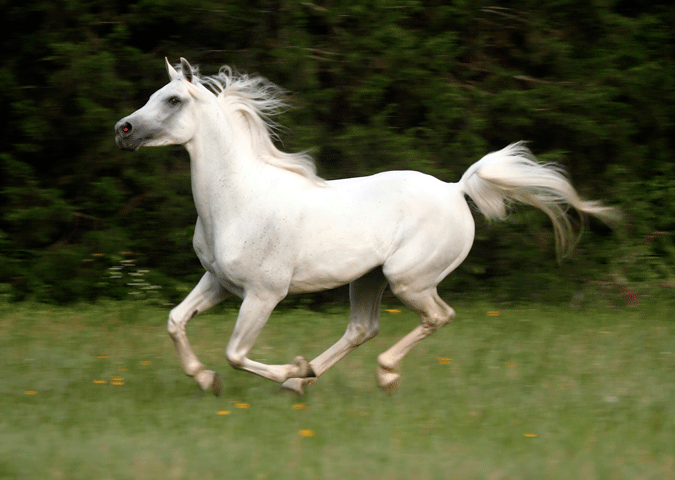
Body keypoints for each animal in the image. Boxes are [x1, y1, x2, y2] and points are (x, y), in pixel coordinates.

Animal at [115, 58, 619, 395]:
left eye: (173, 99)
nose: (123, 130)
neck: (237, 200)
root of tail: (456, 189)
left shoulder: (263, 294)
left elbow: (235, 353)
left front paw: (287, 369)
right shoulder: (218, 282)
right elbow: (175, 321)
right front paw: (207, 379)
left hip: (407, 279)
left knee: (437, 316)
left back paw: (376, 374)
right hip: (368, 279)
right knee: (362, 328)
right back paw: (309, 381)